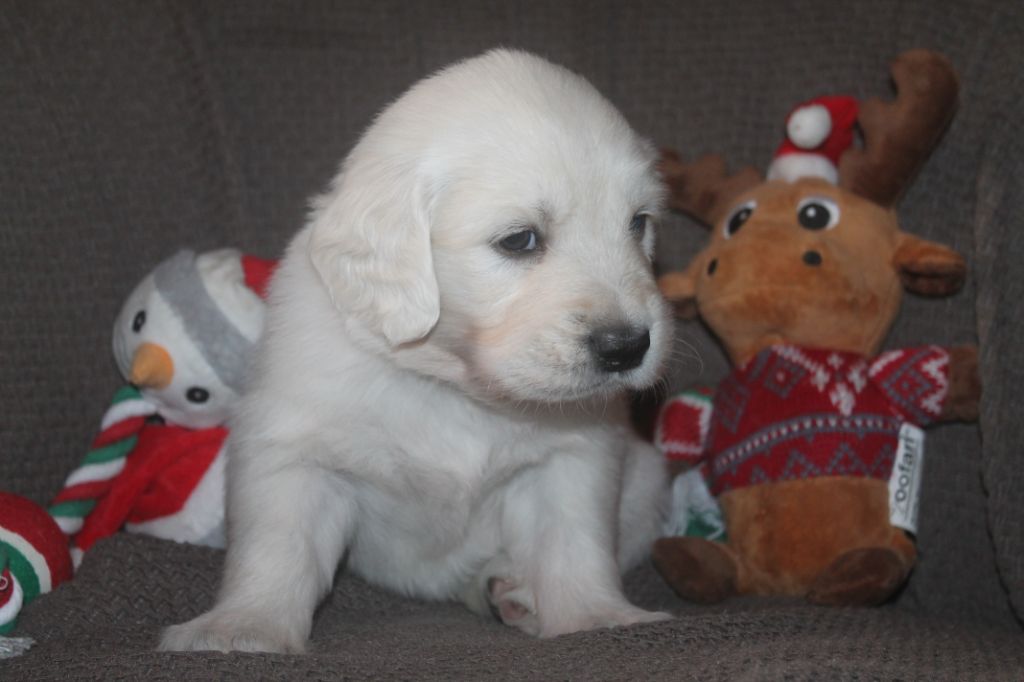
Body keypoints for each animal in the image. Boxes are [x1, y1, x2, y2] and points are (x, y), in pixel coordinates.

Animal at [160, 48, 673, 653]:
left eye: (638, 224)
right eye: (519, 239)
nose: (628, 346)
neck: (452, 385)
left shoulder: (575, 457)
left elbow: (575, 545)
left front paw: (595, 617)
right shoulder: (294, 450)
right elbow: (277, 546)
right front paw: (241, 628)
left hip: (647, 481)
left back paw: (512, 588)